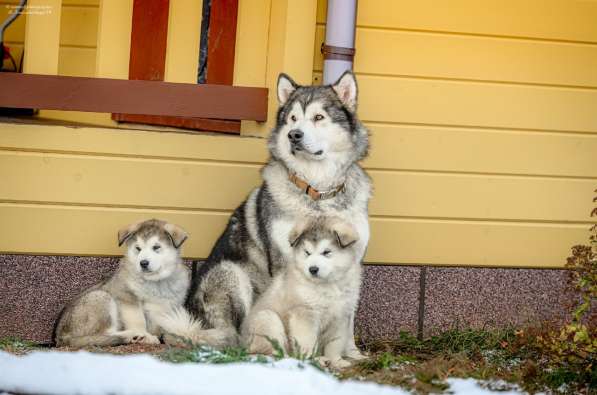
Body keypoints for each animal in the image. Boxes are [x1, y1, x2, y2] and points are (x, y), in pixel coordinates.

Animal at [54, 221, 189, 348]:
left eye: (156, 247)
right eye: (138, 248)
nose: (143, 263)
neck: (155, 282)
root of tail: (61, 338)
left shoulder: (168, 307)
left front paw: (178, 339)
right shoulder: (126, 297)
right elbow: (138, 320)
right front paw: (144, 335)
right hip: (100, 296)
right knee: (104, 333)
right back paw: (134, 335)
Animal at [241, 217, 364, 368]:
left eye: (326, 252)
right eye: (307, 253)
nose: (313, 269)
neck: (327, 285)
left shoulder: (340, 316)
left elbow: (334, 343)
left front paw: (337, 361)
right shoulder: (304, 313)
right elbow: (307, 341)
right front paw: (312, 360)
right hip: (267, 318)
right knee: (271, 351)